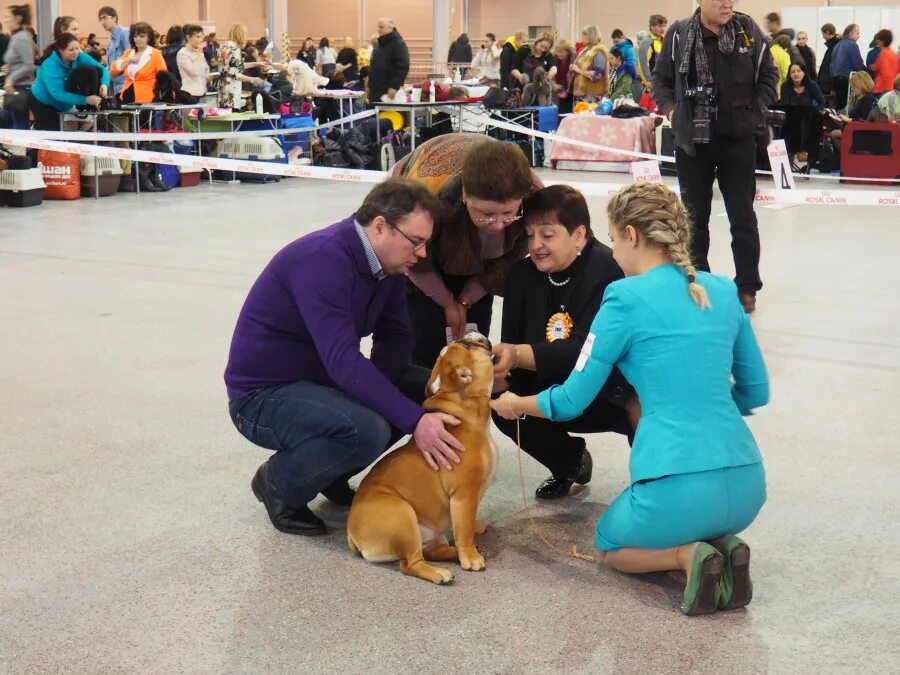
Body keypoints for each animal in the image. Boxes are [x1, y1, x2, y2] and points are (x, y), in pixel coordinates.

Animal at [346, 334, 500, 588]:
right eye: (467, 345)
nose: (469, 333)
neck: (464, 410)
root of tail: (351, 534)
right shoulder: (464, 494)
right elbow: (464, 527)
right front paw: (470, 557)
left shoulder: (471, 497)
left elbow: (469, 521)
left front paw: (475, 530)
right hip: (401, 516)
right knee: (410, 563)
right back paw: (442, 571)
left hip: (426, 533)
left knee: (430, 551)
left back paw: (452, 554)